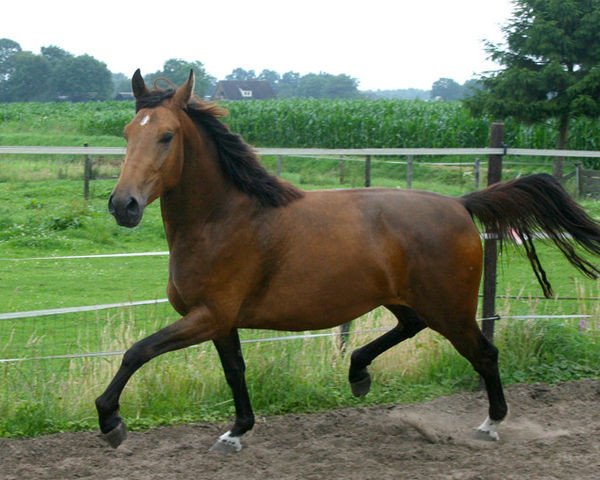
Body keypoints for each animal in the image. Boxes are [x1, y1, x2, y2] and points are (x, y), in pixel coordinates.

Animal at [96, 69, 600, 452]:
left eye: (166, 136)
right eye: (127, 134)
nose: (123, 205)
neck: (223, 219)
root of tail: (461, 205)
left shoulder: (207, 316)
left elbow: (137, 351)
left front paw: (111, 422)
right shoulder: (220, 321)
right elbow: (234, 371)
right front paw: (236, 432)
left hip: (451, 308)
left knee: (484, 353)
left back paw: (490, 424)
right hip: (404, 296)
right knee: (410, 326)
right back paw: (358, 371)